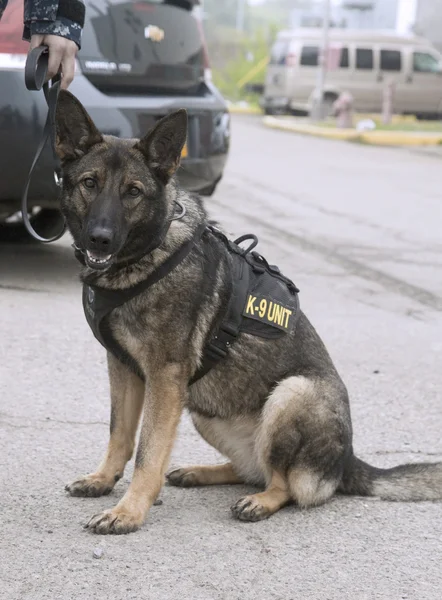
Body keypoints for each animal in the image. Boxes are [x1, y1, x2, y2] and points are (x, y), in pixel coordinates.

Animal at [56, 90, 442, 536]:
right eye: (90, 183)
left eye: (133, 192)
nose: (99, 239)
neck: (149, 253)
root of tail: (347, 463)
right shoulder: (123, 369)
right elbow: (119, 433)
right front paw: (103, 480)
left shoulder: (164, 379)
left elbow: (149, 451)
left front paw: (129, 511)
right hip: (204, 409)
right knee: (252, 468)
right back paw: (202, 472)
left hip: (290, 393)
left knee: (286, 485)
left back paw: (260, 501)